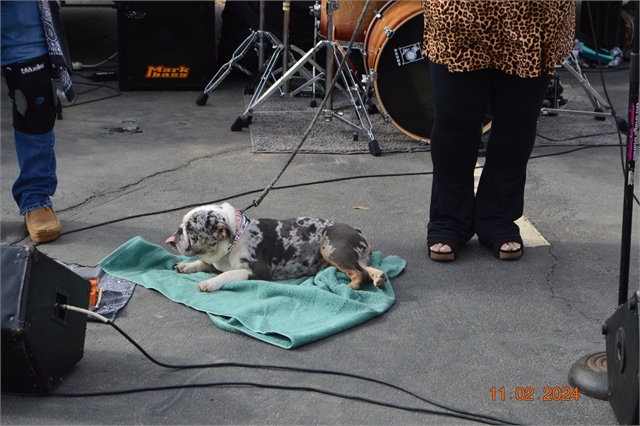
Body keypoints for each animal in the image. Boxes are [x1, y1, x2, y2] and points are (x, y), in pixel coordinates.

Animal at [164, 201, 384, 292]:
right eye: (183, 226)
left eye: (190, 229)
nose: (175, 236)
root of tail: (358, 232)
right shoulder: (217, 261)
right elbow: (204, 262)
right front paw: (187, 266)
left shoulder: (256, 271)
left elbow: (227, 275)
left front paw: (210, 283)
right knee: (365, 269)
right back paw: (379, 278)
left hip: (331, 249)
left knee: (359, 273)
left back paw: (351, 287)